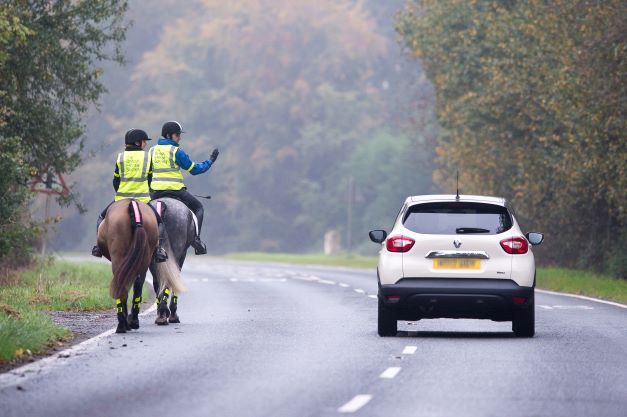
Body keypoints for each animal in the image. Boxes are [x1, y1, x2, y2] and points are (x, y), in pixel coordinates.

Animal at [96, 198, 184, 332]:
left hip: (119, 255)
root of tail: (134, 205)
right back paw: (132, 321)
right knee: (138, 282)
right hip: (145, 257)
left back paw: (123, 324)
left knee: (122, 282)